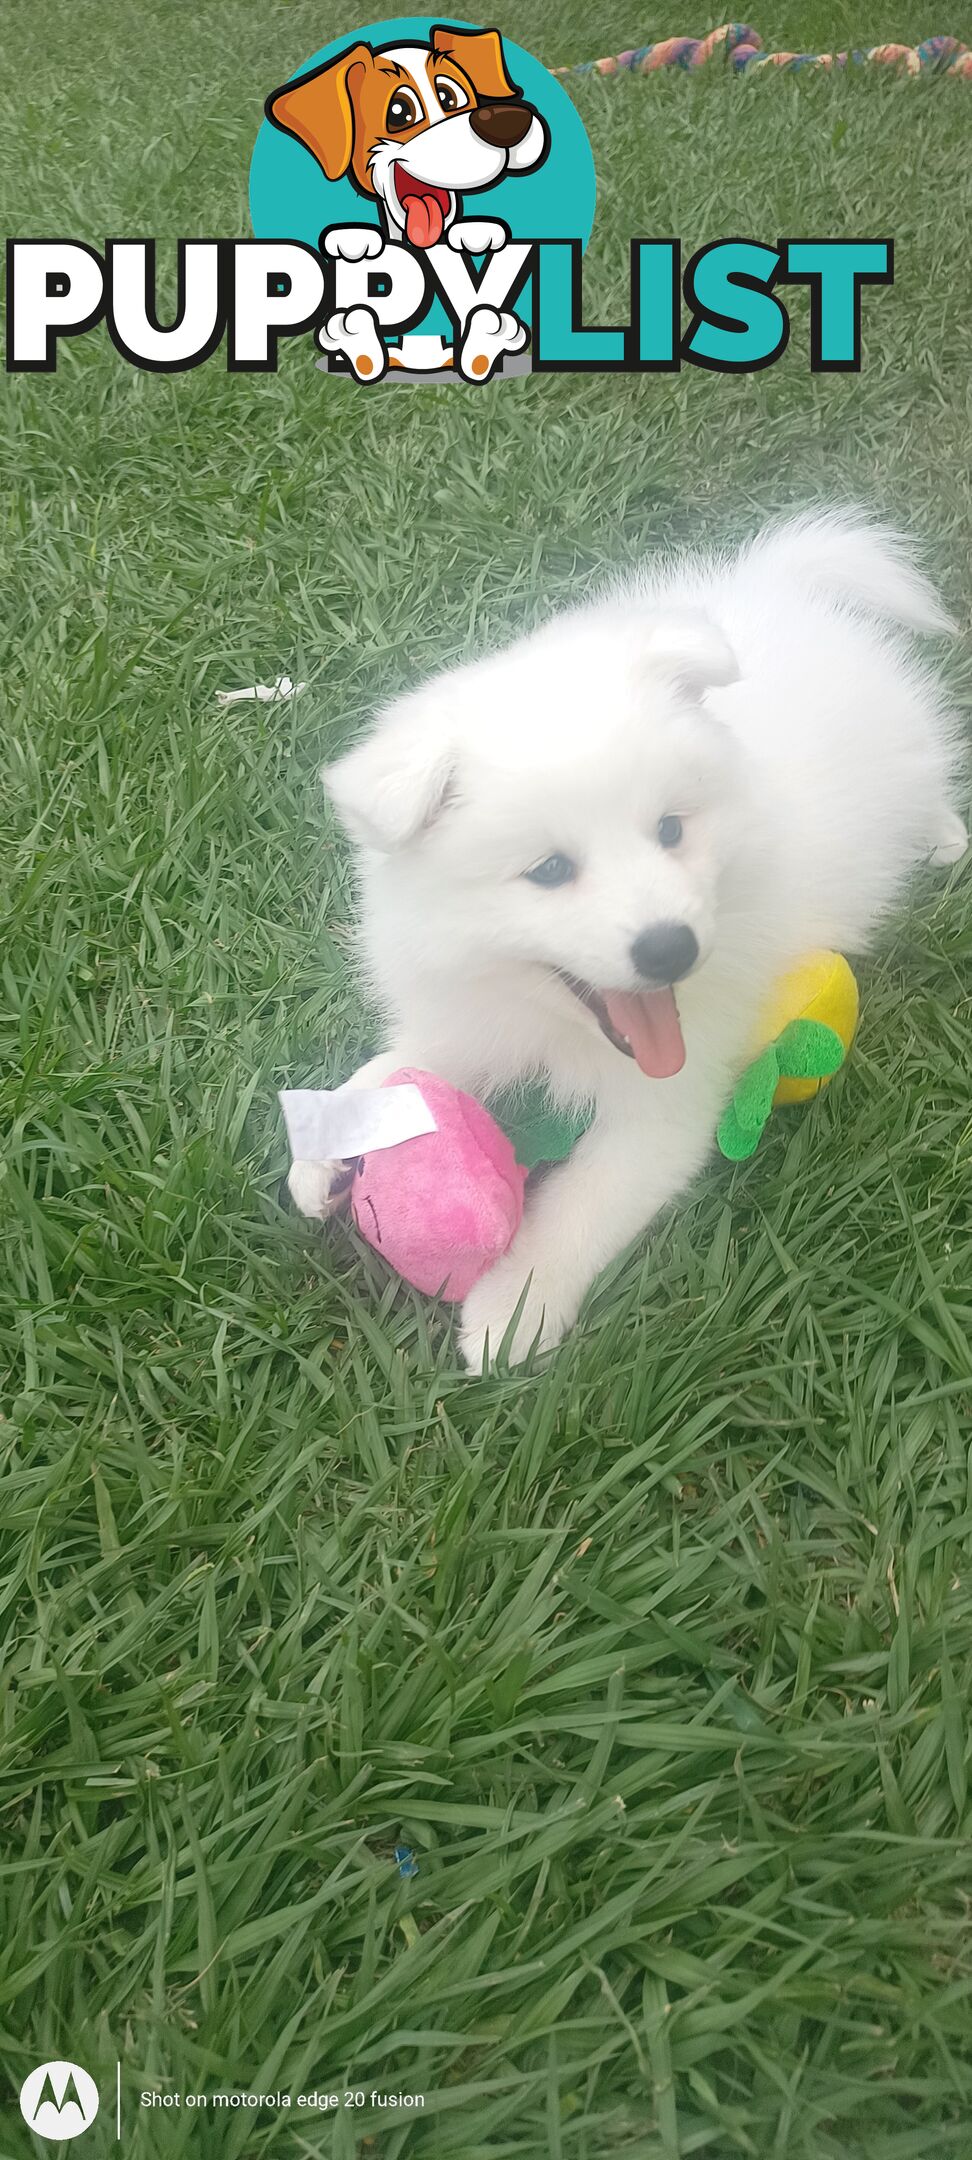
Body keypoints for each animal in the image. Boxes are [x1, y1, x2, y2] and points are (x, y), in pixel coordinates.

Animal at [291, 516, 967, 1365]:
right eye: (549, 870)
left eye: (671, 830)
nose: (672, 949)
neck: (557, 1028)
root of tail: (785, 587)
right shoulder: (472, 1013)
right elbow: (397, 1067)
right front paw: (326, 1137)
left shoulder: (665, 1107)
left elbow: (583, 1202)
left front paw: (513, 1306)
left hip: (909, 757)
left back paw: (945, 840)